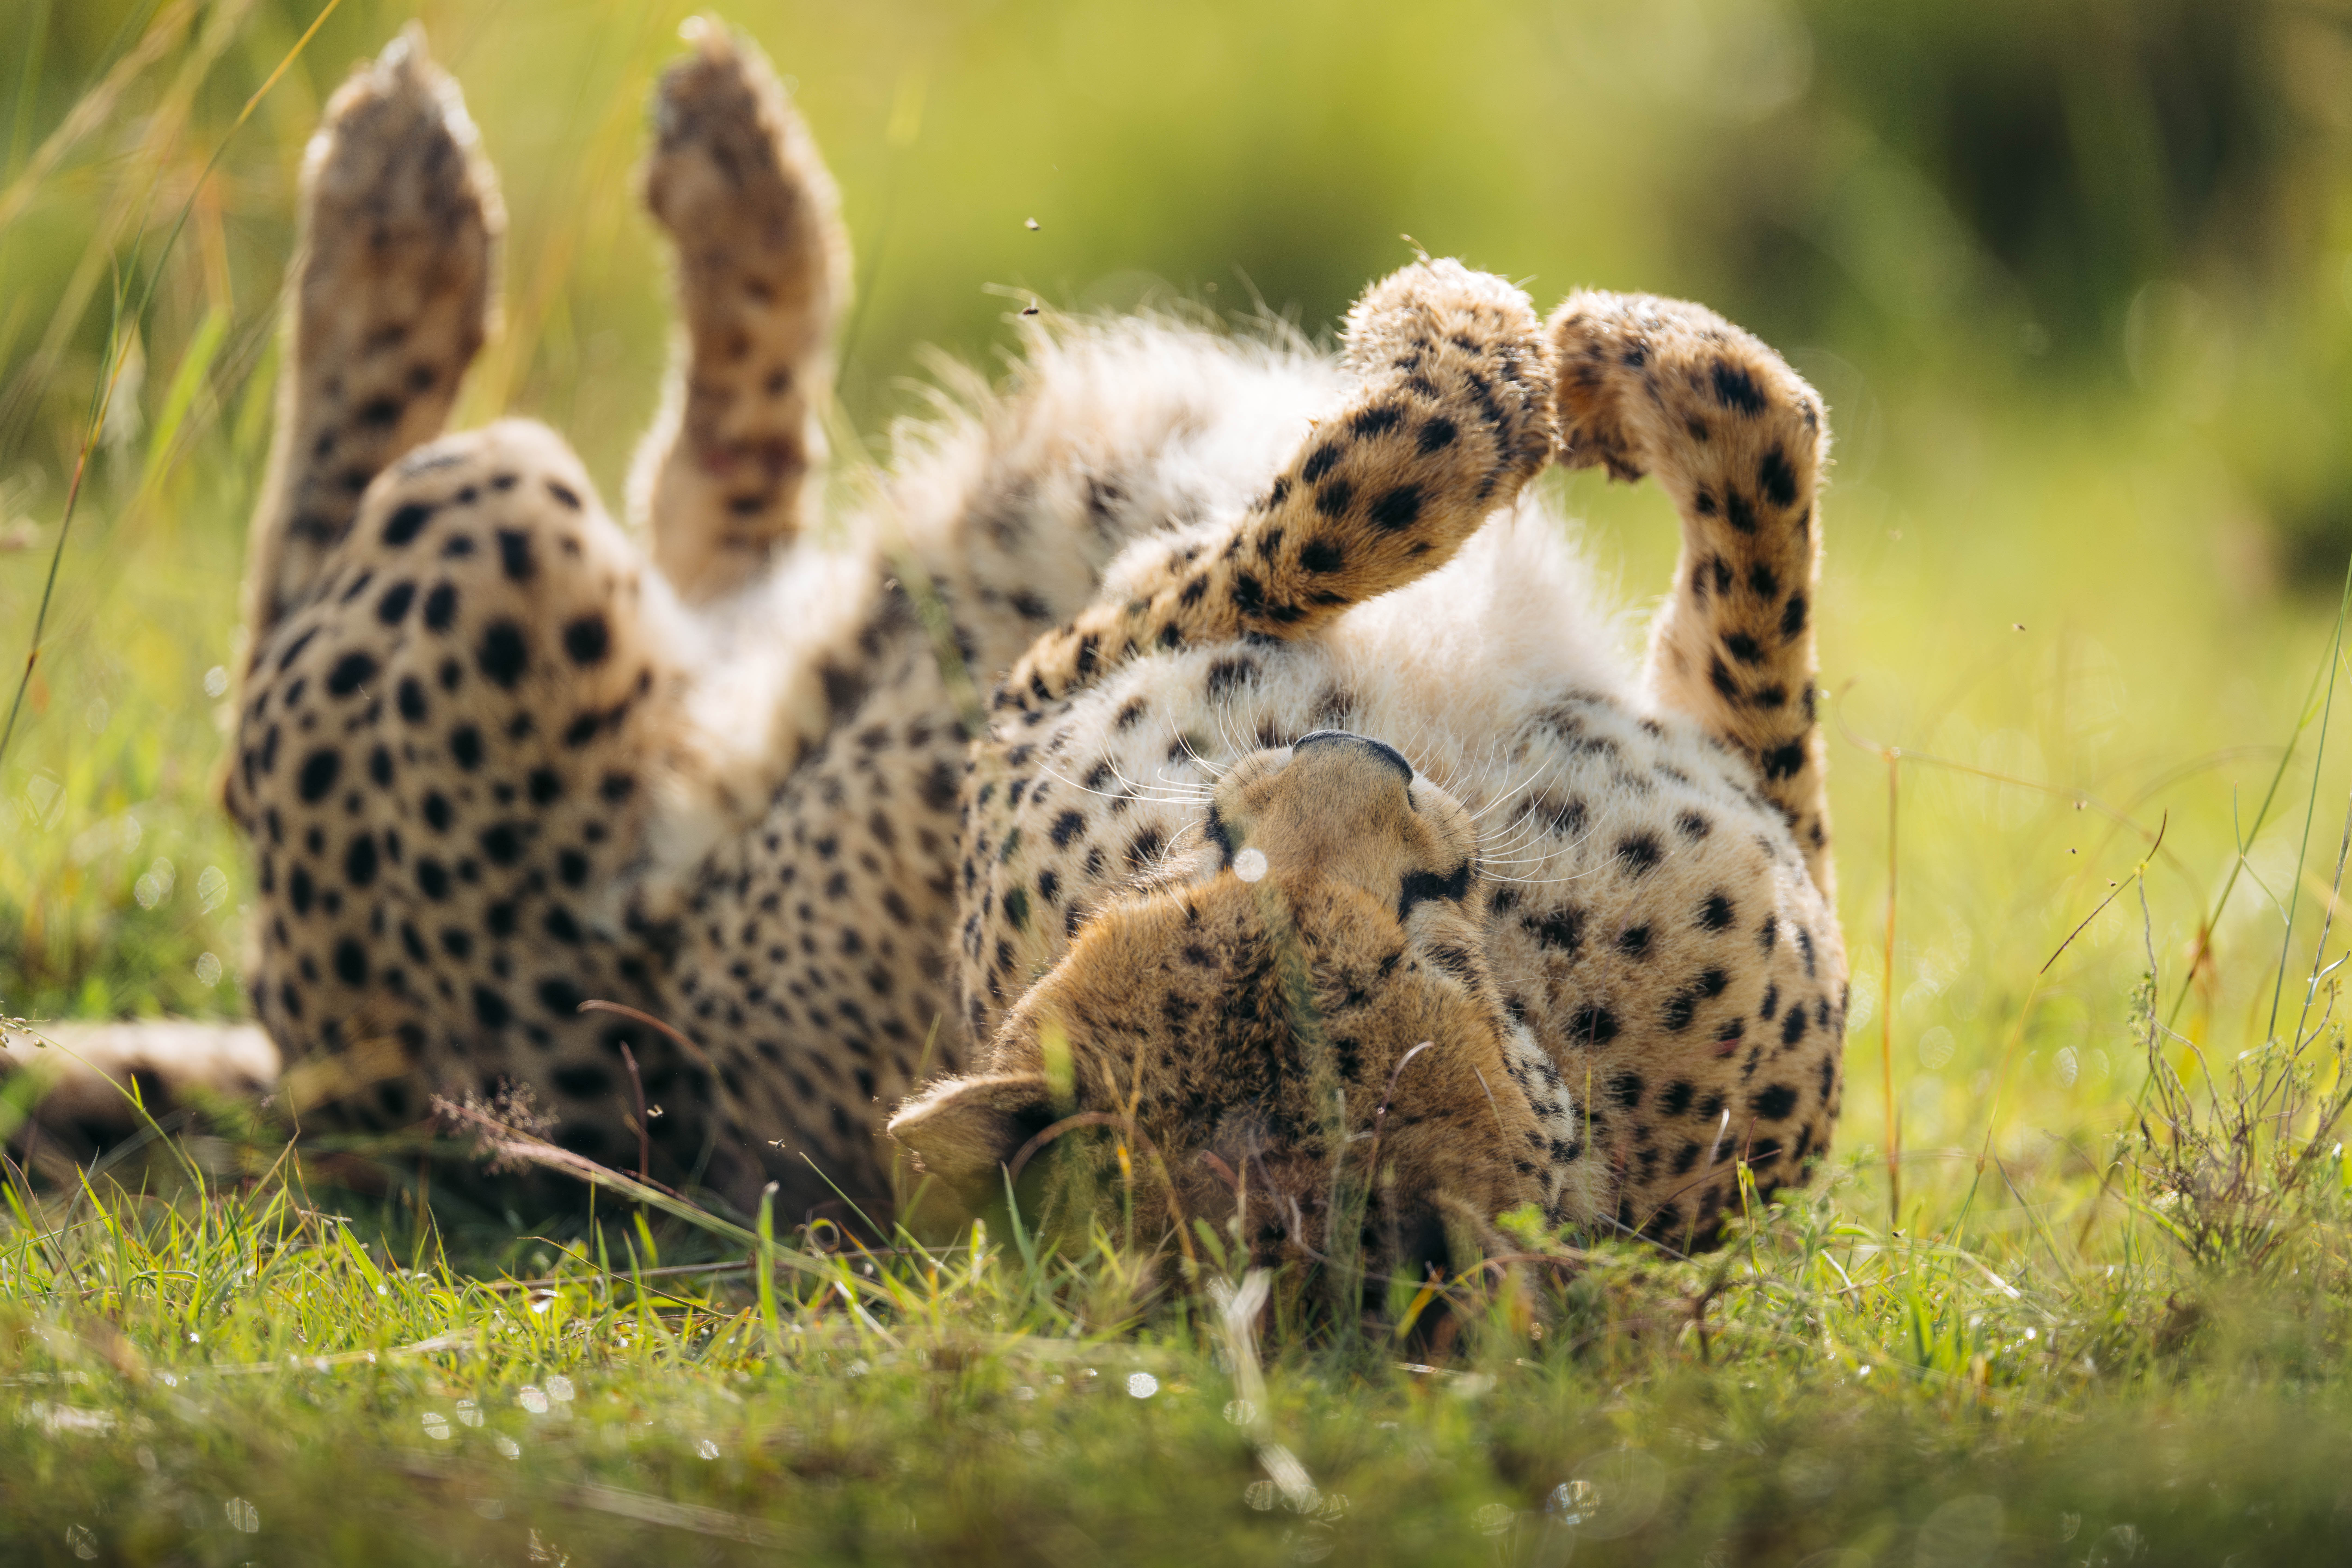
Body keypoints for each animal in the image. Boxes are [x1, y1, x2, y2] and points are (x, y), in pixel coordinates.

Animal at [221, 21, 1845, 1260]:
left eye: (1407, 925)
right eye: (1230, 876)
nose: (1352, 759)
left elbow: (1405, 496)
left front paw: (1535, 355)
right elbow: (1675, 451)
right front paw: (1575, 354)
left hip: (494, 535)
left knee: (312, 609)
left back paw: (419, 201)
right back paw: (696, 173)